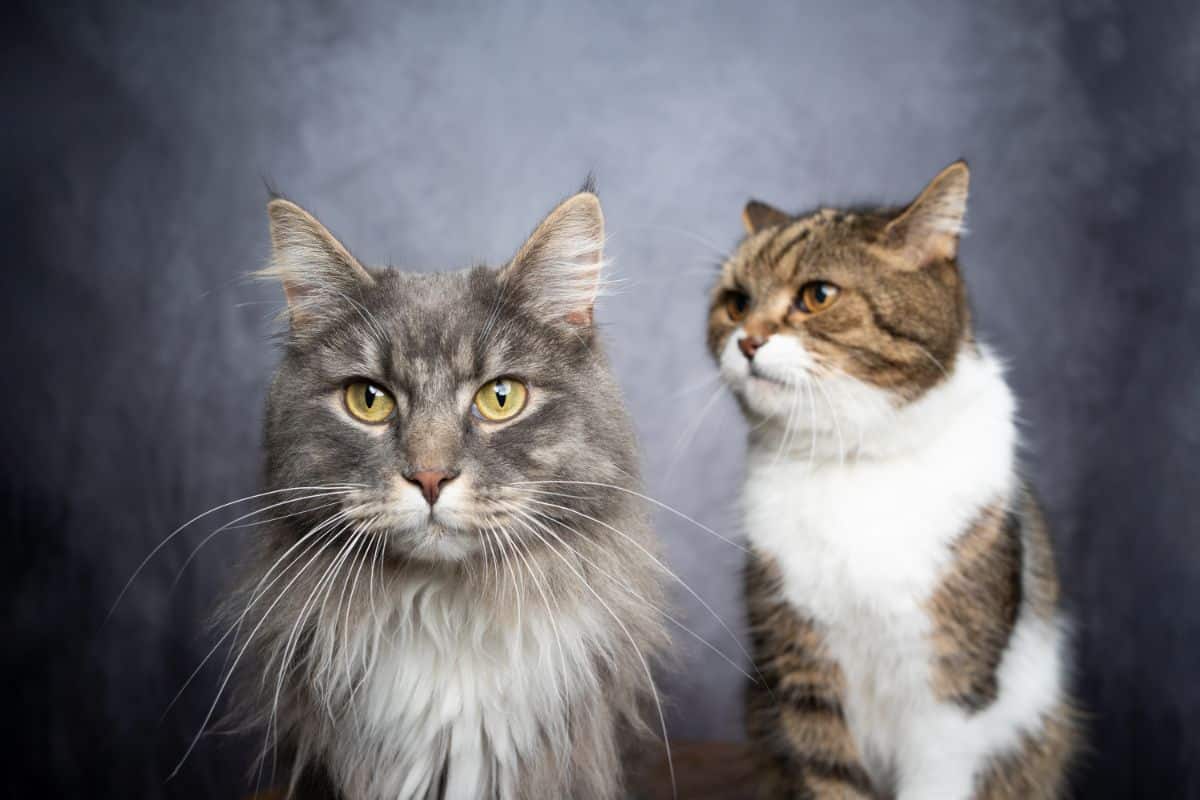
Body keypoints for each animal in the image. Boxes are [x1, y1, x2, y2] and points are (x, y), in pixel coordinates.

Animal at [705, 164, 1084, 800]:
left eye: (818, 296)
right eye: (735, 303)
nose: (748, 340)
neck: (852, 461)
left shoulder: (949, 686)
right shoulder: (802, 670)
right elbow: (828, 774)